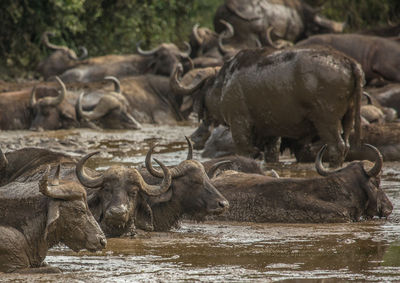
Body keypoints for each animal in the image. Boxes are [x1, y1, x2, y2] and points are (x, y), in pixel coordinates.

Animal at [170, 45, 364, 168]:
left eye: (202, 91)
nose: (195, 136)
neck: (224, 82)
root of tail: (349, 62)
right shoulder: (272, 133)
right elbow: (271, 155)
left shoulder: (239, 125)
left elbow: (245, 151)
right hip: (348, 118)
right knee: (345, 145)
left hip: (326, 121)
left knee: (337, 147)